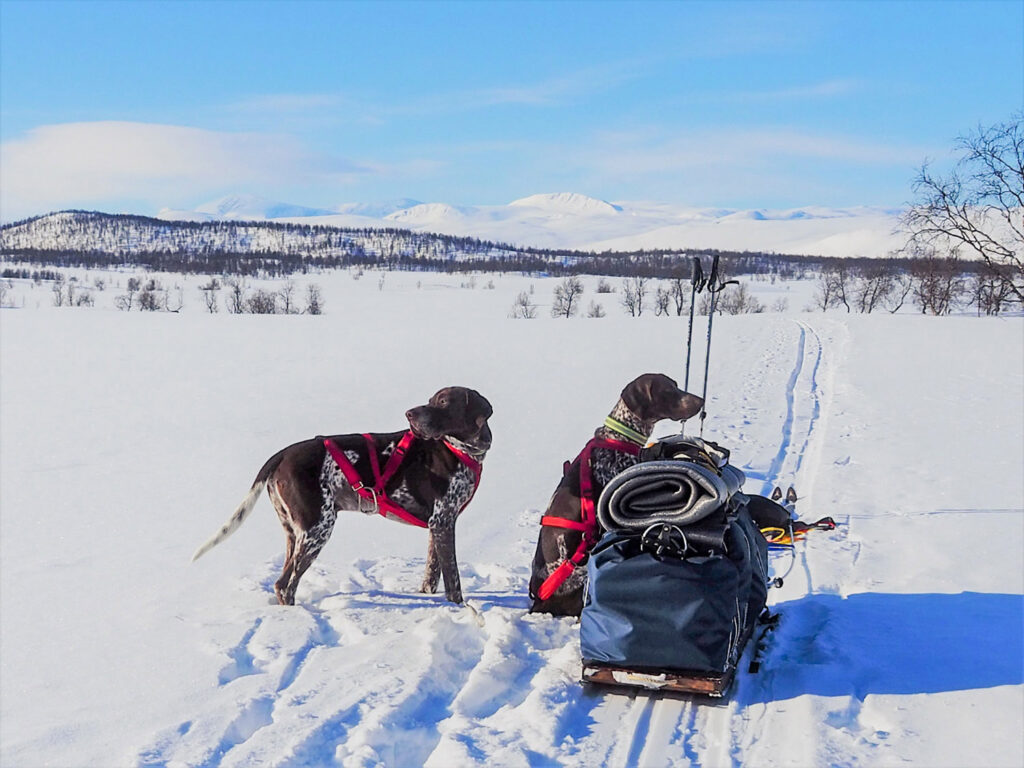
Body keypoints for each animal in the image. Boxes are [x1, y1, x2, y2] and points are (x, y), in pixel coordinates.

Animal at [194, 387, 495, 610]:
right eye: (434, 400)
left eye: (442, 401)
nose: (409, 413)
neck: (462, 450)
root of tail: (282, 455)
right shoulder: (443, 521)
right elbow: (453, 580)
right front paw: (459, 610)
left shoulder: (436, 525)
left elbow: (432, 574)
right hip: (317, 529)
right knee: (287, 584)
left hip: (294, 532)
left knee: (282, 582)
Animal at [528, 374, 704, 618]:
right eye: (668, 390)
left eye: (676, 385)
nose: (701, 401)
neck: (621, 435)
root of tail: (539, 603)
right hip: (583, 574)